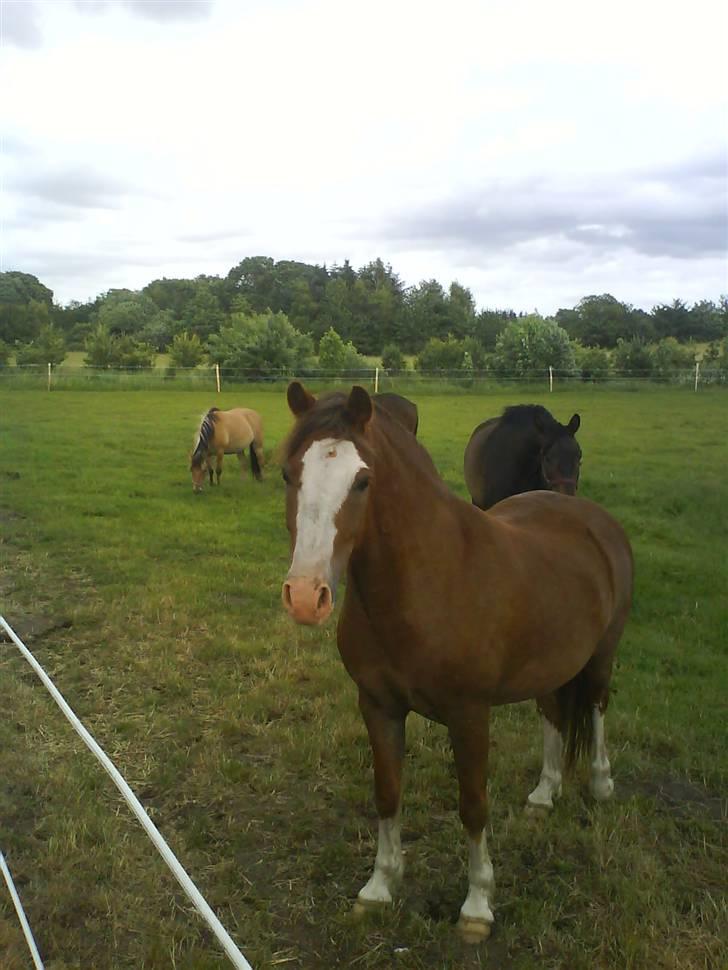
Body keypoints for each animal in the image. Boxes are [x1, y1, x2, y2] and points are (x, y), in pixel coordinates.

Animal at [280, 383, 632, 943]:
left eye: (363, 480)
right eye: (288, 473)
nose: (305, 597)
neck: (427, 580)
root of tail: (589, 516)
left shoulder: (469, 715)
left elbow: (472, 805)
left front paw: (477, 906)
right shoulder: (377, 705)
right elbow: (387, 793)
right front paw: (379, 888)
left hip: (601, 656)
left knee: (595, 706)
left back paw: (600, 785)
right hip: (550, 662)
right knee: (554, 714)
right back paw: (544, 794)